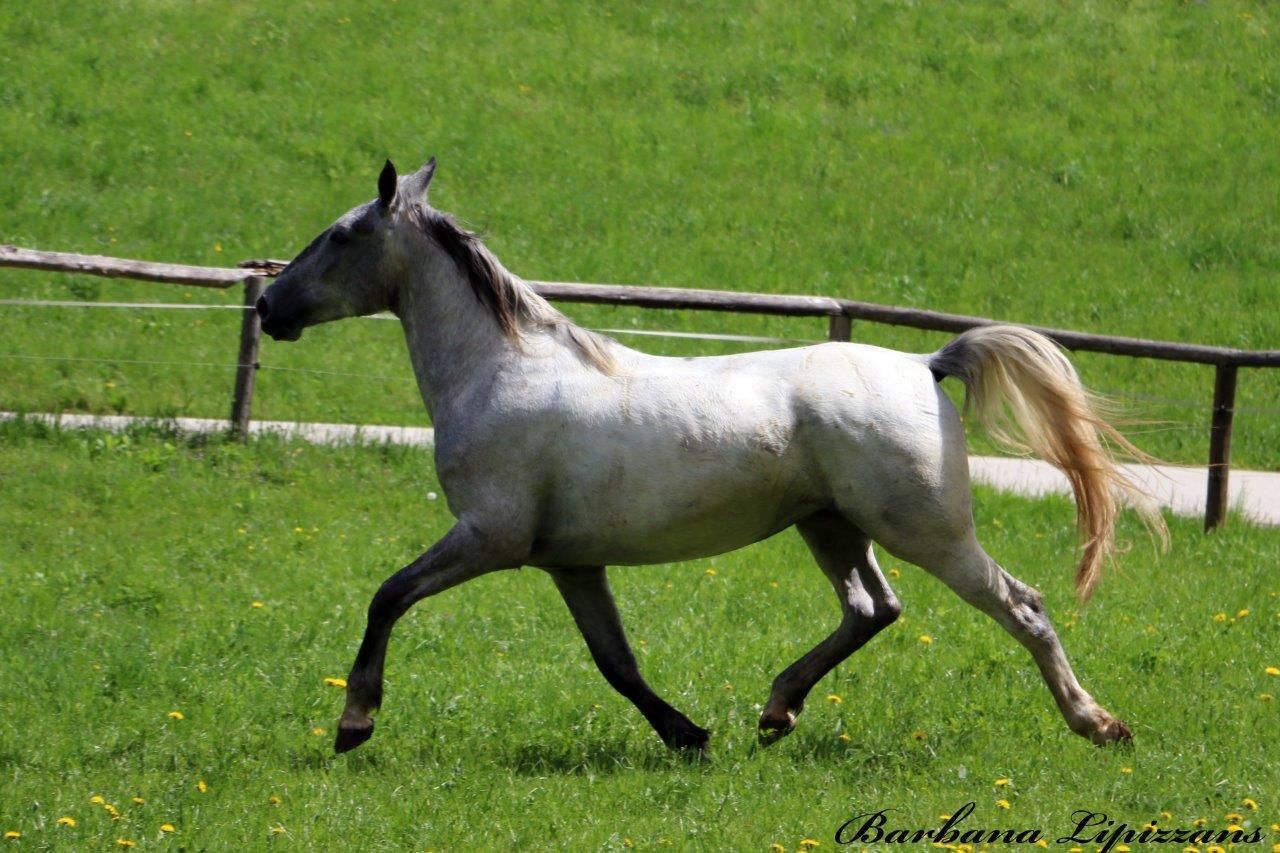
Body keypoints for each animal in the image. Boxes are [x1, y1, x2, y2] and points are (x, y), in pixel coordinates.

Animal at [256, 158, 1166, 755]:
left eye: (340, 234)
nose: (268, 305)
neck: (501, 370)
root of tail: (924, 363)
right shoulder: (569, 562)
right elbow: (616, 662)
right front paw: (688, 733)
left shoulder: (490, 538)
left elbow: (387, 596)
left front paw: (354, 723)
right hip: (832, 525)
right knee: (872, 608)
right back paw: (776, 710)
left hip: (925, 530)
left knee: (1022, 605)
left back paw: (1099, 724)